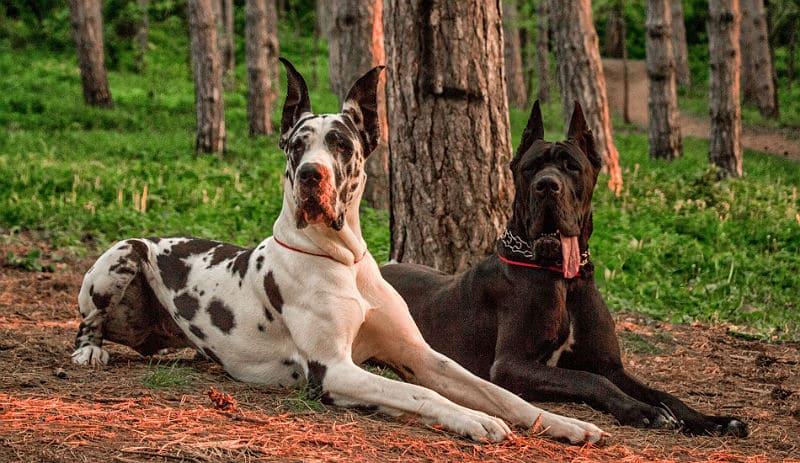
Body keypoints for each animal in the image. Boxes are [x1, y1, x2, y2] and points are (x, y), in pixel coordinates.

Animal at [382, 102, 752, 438]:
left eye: (572, 167)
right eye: (531, 168)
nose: (547, 185)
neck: (564, 279)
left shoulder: (611, 365)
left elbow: (662, 393)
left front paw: (712, 420)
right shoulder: (511, 365)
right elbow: (589, 379)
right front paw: (643, 410)